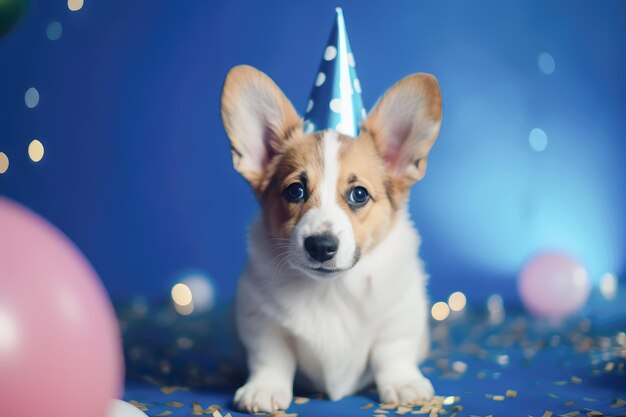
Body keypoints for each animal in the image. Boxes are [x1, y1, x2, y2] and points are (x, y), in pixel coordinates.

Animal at [222, 63, 442, 412]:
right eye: (295, 191)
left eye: (359, 194)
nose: (321, 246)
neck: (330, 289)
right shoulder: (260, 319)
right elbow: (271, 357)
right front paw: (264, 388)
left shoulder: (400, 315)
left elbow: (392, 352)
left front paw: (403, 383)